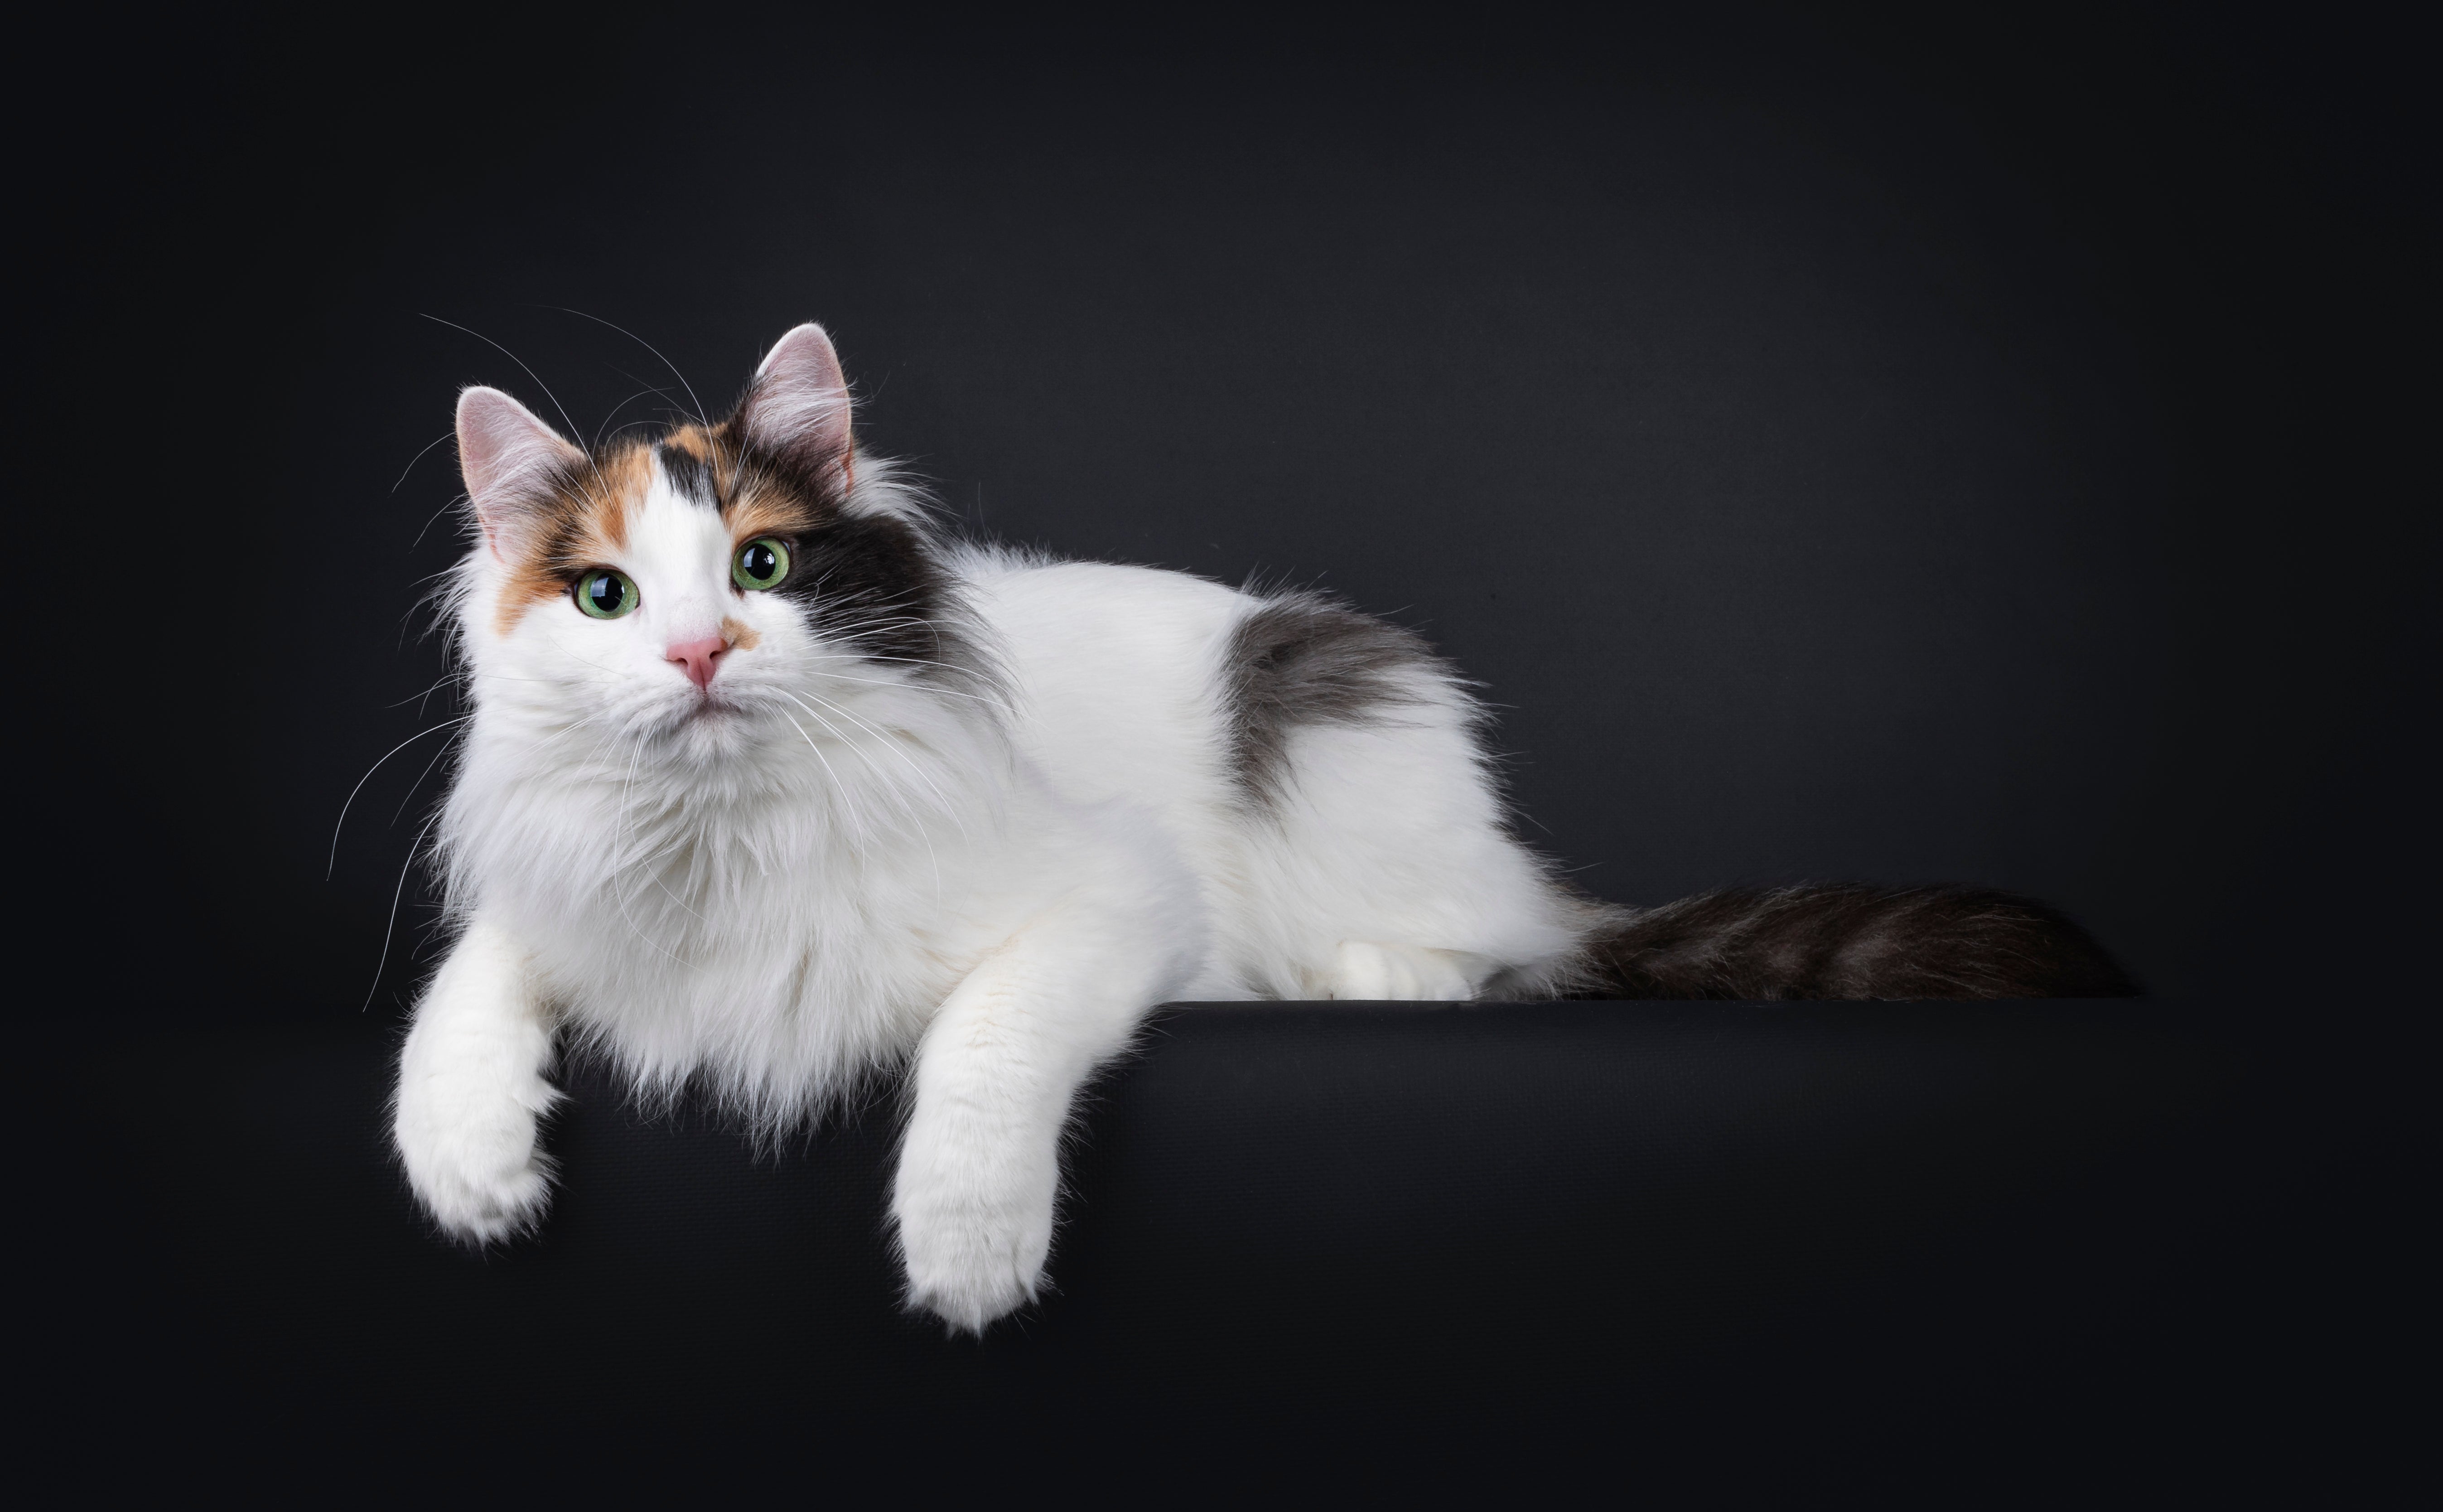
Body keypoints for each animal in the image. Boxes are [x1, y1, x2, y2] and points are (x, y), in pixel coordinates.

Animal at [391, 322, 2130, 1338]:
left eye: (759, 566)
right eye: (606, 596)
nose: (697, 653)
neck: (732, 834)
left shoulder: (1111, 899)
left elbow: (984, 1043)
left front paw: (967, 1249)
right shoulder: (556, 903)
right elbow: (459, 998)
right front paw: (471, 1167)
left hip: (1332, 711)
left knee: (1501, 954)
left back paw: (1367, 973)